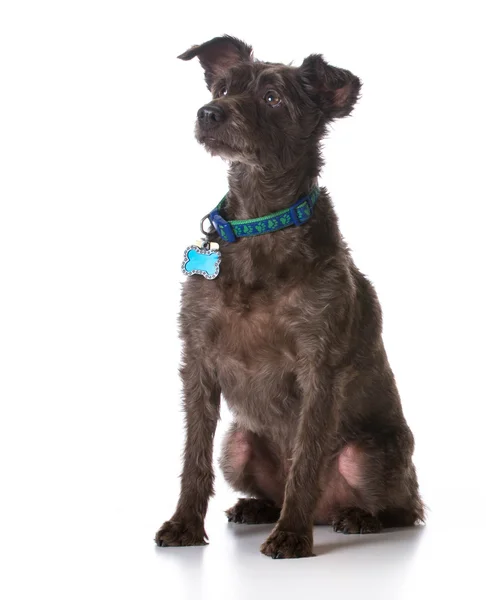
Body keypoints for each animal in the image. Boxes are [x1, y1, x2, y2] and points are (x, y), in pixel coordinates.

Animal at [155, 36, 422, 556]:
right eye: (222, 87)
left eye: (273, 98)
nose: (209, 112)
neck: (260, 221)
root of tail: (325, 513)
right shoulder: (198, 361)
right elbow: (193, 456)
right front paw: (184, 524)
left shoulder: (320, 368)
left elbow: (306, 459)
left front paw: (291, 536)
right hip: (237, 444)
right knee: (260, 479)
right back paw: (257, 507)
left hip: (369, 454)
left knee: (407, 510)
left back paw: (357, 518)